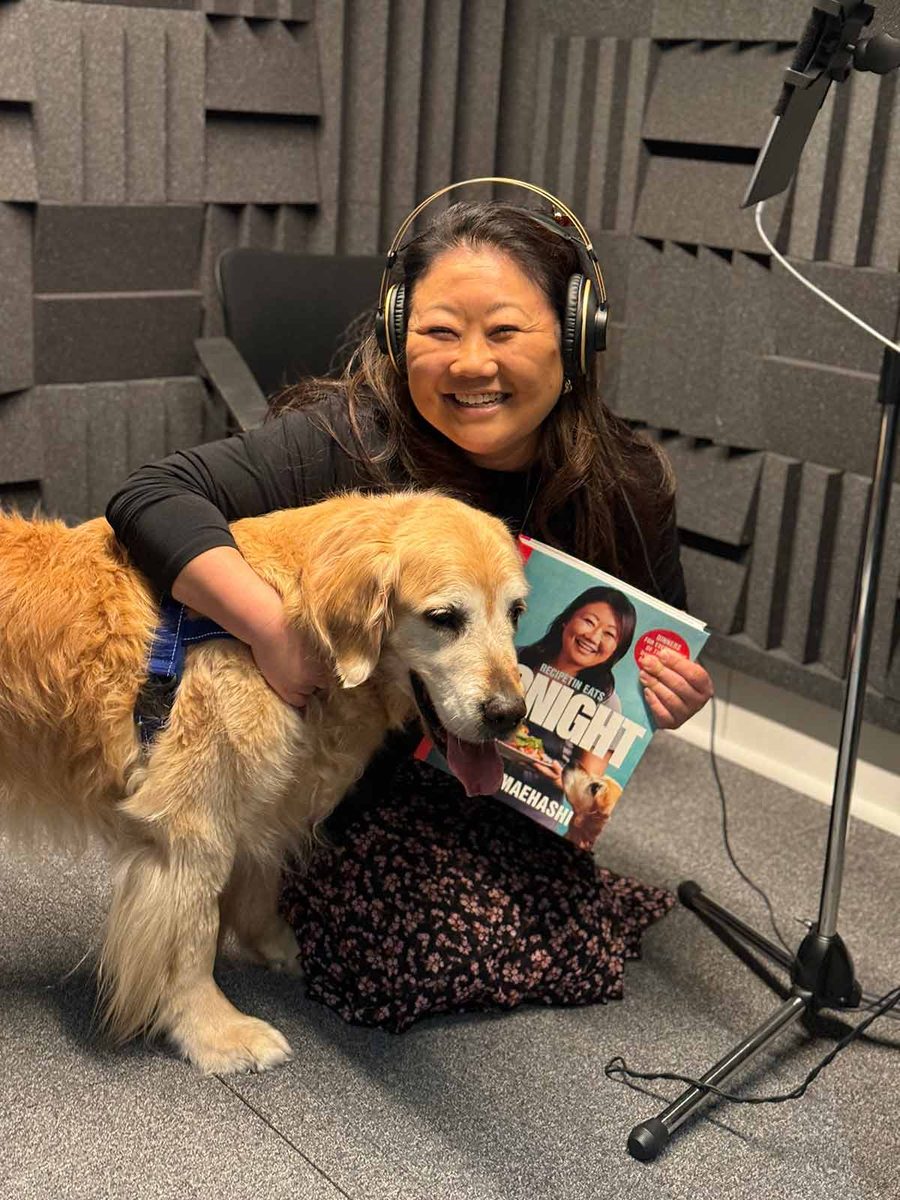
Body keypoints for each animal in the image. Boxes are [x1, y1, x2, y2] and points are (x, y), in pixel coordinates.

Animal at [0, 490, 528, 1073]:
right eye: (444, 618)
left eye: (516, 613)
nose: (510, 715)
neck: (295, 620)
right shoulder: (190, 828)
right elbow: (193, 939)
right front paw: (215, 1031)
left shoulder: (265, 804)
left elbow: (260, 880)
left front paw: (276, 945)